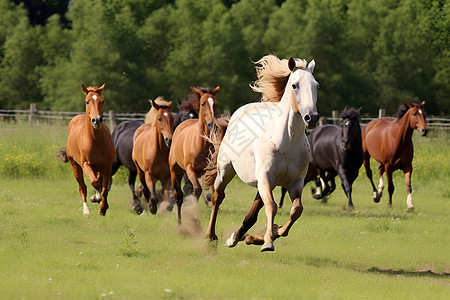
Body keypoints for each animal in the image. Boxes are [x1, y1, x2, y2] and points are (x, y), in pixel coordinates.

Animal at [57, 84, 114, 216]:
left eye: (102, 101)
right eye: (87, 101)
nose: (96, 120)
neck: (96, 141)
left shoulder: (107, 166)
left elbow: (104, 188)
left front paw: (103, 207)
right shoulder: (86, 164)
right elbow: (95, 183)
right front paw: (96, 198)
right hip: (75, 166)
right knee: (82, 187)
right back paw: (86, 210)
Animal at [168, 85, 219, 224]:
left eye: (216, 104)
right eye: (203, 104)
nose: (212, 124)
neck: (201, 142)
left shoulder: (210, 171)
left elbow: (212, 194)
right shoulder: (190, 168)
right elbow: (196, 190)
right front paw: (195, 216)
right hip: (176, 171)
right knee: (179, 195)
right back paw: (179, 222)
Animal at [202, 55, 318, 252]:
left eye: (316, 85)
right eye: (295, 85)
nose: (312, 117)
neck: (287, 141)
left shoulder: (295, 183)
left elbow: (296, 211)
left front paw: (271, 233)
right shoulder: (266, 177)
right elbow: (272, 207)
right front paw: (268, 242)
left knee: (252, 214)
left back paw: (237, 238)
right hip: (226, 170)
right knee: (218, 197)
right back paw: (211, 236)